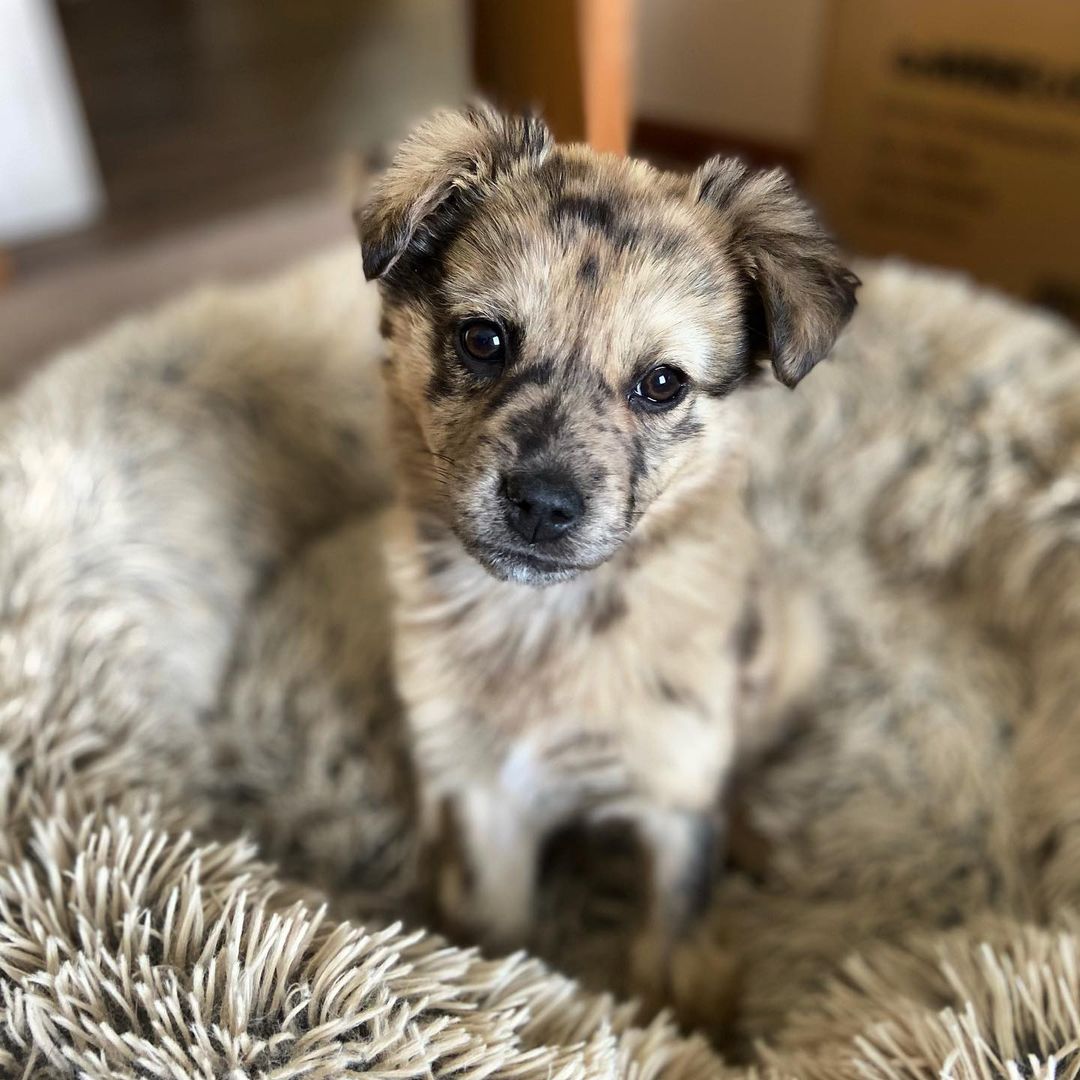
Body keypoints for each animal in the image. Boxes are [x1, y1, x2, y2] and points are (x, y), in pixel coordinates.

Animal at [358, 105, 855, 989]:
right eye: (483, 340)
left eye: (662, 384)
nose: (543, 506)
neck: (548, 619)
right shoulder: (487, 795)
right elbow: (504, 935)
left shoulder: (674, 797)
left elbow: (673, 946)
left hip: (792, 638)